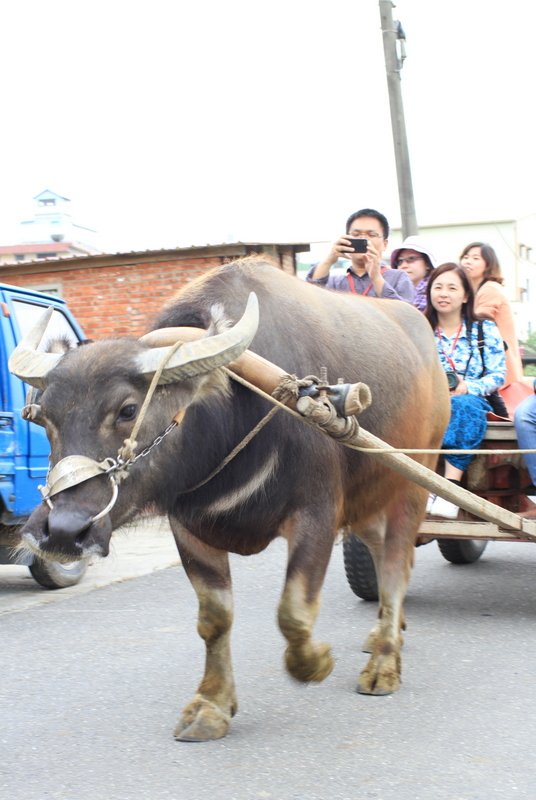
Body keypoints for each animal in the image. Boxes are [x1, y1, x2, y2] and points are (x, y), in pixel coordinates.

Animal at [10, 260, 450, 740]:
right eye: (44, 417)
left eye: (127, 410)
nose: (62, 531)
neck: (232, 424)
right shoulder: (188, 527)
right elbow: (215, 617)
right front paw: (212, 704)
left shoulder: (317, 513)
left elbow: (293, 610)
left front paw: (314, 662)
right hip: (368, 497)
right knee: (381, 550)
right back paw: (388, 631)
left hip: (412, 482)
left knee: (395, 566)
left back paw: (384, 662)